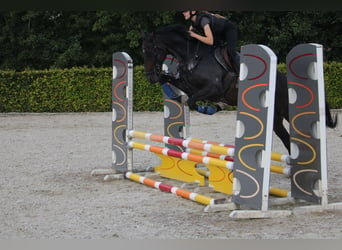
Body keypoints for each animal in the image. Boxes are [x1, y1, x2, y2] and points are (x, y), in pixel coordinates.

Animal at [141, 24, 336, 152]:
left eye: (151, 50)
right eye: (144, 51)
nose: (149, 76)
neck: (193, 56)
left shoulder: (214, 88)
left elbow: (193, 101)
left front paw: (211, 108)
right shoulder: (188, 84)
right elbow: (182, 91)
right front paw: (166, 83)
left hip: (288, 111)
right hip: (275, 118)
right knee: (287, 139)